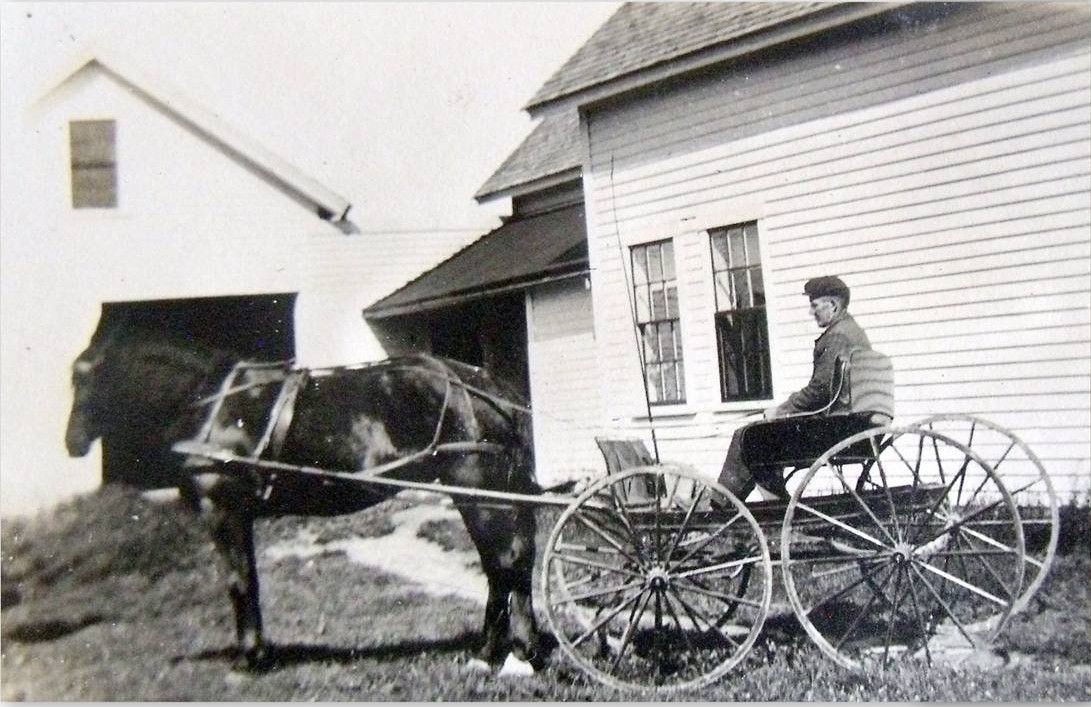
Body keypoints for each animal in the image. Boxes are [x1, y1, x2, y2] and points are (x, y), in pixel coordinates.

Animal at [65, 320, 544, 674]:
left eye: (81, 375)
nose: (73, 443)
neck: (215, 406)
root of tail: (484, 384)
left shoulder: (223, 512)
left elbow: (238, 582)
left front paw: (249, 658)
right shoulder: (240, 514)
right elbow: (250, 579)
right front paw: (259, 651)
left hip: (479, 490)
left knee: (505, 562)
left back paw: (511, 653)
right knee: (506, 564)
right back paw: (500, 653)